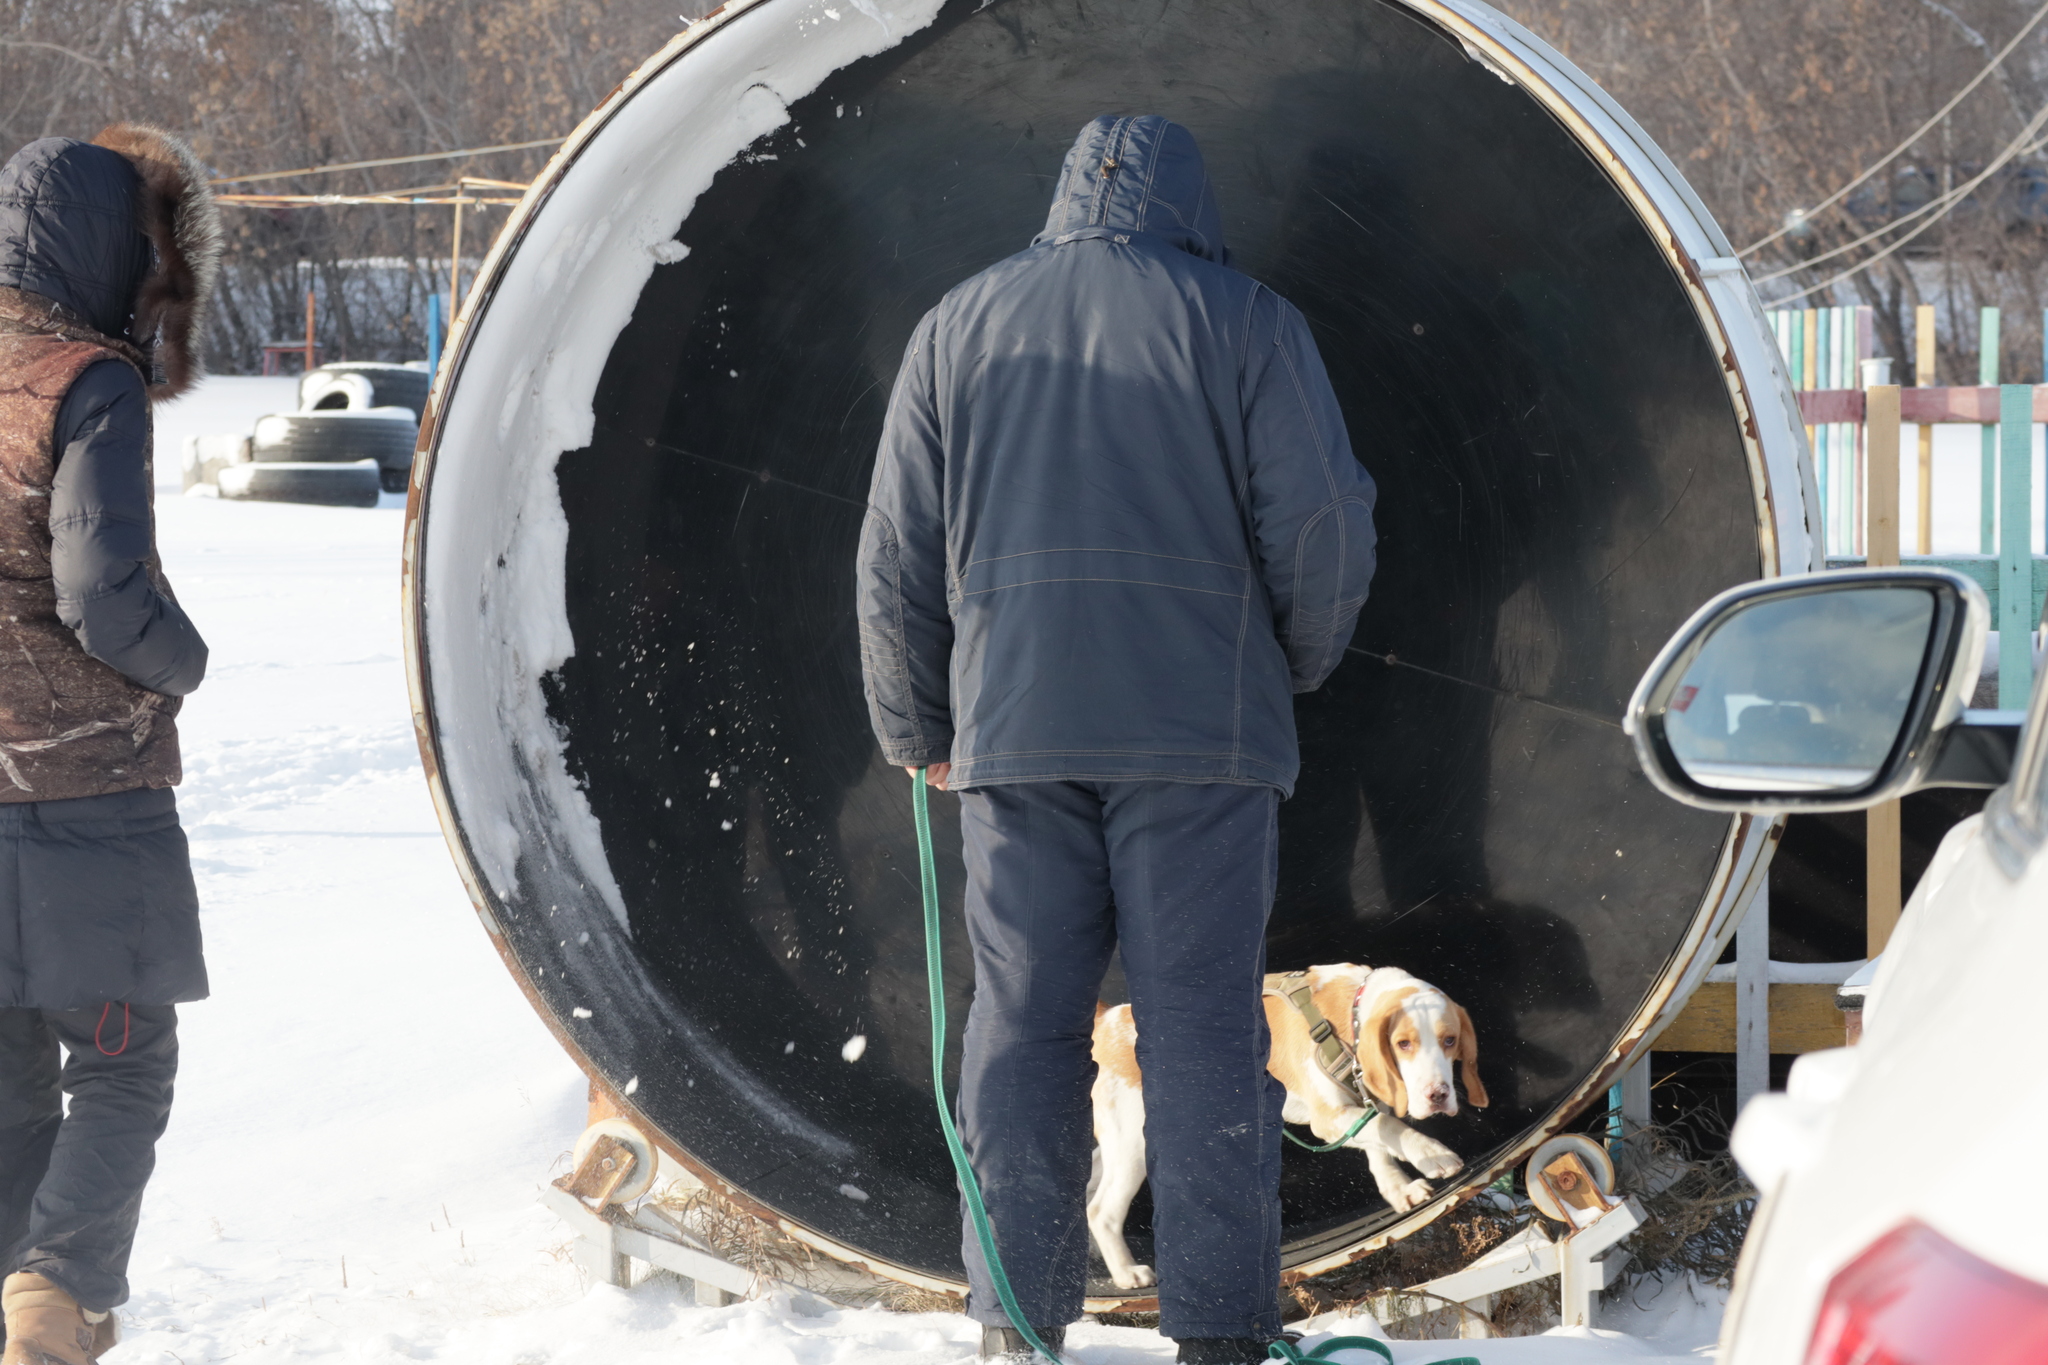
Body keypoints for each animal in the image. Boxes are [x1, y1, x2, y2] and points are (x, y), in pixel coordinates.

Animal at [1089, 961, 1490, 1293]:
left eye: (1450, 1040)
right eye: (1403, 1044)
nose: (1438, 1095)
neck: (1349, 1014)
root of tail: (1108, 1020)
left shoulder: (1359, 1104)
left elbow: (1377, 1140)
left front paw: (1398, 1189)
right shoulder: (1327, 1118)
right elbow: (1388, 1127)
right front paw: (1432, 1154)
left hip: (1110, 1147)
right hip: (1133, 1145)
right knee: (1101, 1211)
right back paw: (1126, 1274)